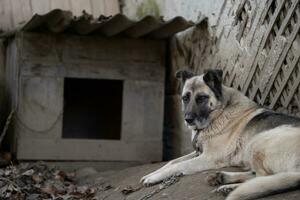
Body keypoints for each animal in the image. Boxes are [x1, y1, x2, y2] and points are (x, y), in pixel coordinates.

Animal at [140, 69, 300, 200]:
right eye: (185, 98)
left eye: (201, 98)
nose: (188, 119)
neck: (220, 112)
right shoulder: (198, 152)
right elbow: (171, 162)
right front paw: (151, 174)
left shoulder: (208, 157)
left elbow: (178, 166)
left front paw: (154, 177)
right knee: (257, 175)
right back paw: (222, 178)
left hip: (258, 142)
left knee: (263, 178)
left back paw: (230, 187)